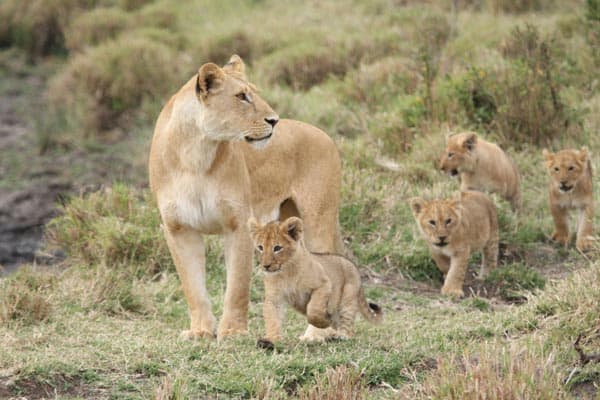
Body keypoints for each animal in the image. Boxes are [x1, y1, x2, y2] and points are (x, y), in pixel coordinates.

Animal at [149, 54, 342, 340]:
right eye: (241, 96)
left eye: (255, 94)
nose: (274, 120)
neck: (195, 153)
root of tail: (323, 133)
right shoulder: (178, 228)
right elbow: (192, 287)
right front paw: (200, 331)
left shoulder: (238, 224)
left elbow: (237, 286)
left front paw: (233, 332)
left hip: (319, 220)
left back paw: (315, 335)